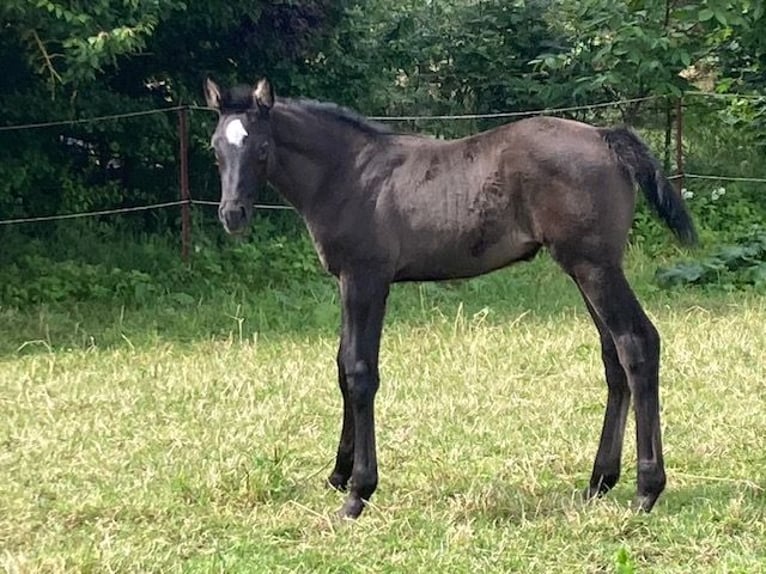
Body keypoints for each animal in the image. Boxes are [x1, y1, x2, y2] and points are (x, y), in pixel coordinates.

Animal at [204, 77, 696, 520]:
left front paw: (359, 492)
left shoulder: (366, 279)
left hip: (594, 267)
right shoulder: (347, 281)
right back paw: (598, 482)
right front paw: (339, 474)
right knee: (613, 357)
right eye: (215, 149)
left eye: (260, 148)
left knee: (636, 344)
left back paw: (647, 489)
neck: (348, 175)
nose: (232, 215)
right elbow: (343, 367)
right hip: (585, 268)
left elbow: (361, 374)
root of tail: (605, 137)